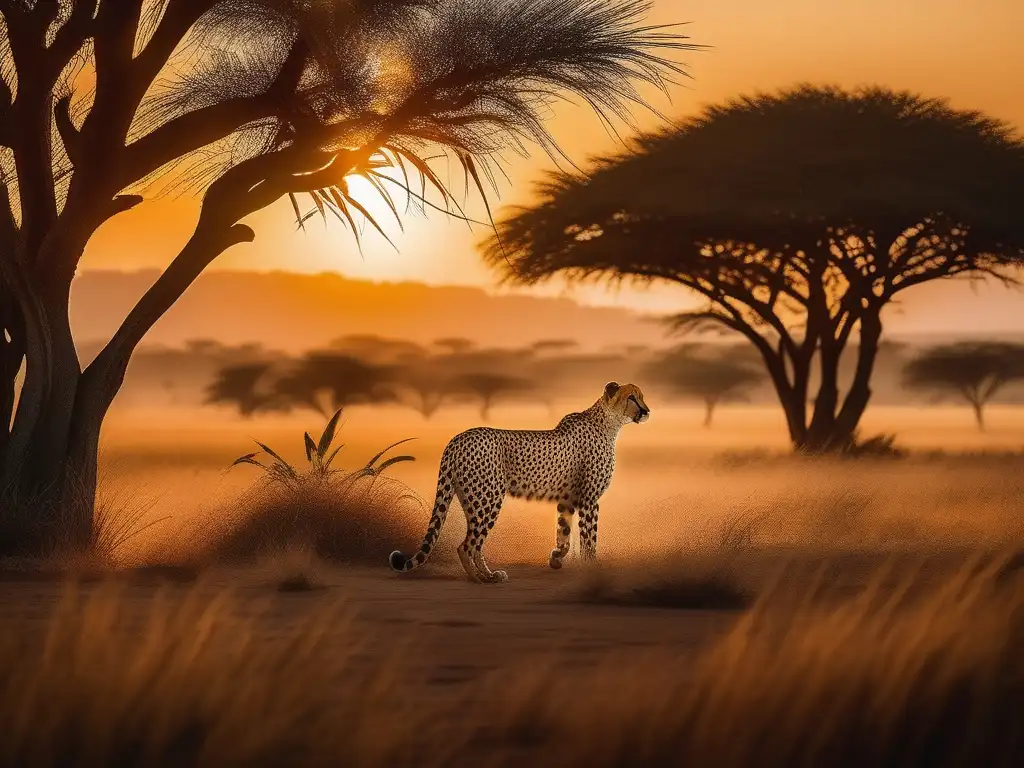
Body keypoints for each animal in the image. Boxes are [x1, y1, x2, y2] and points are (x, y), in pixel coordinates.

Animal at [387, 385, 651, 581]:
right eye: (632, 397)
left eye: (642, 396)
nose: (647, 411)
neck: (609, 422)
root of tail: (458, 438)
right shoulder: (589, 500)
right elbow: (589, 539)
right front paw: (591, 568)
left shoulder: (567, 501)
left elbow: (563, 534)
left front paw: (556, 558)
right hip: (488, 499)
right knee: (467, 545)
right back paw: (481, 578)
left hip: (472, 499)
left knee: (474, 542)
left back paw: (487, 574)